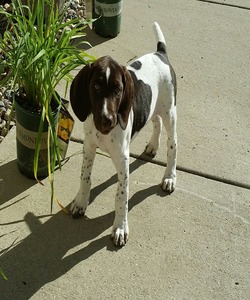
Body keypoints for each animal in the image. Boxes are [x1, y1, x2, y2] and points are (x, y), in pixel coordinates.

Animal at [69, 21, 177, 246]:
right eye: (96, 86)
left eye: (118, 90)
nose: (107, 120)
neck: (103, 133)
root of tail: (160, 53)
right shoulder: (88, 147)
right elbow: (85, 177)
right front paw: (81, 201)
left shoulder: (122, 158)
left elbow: (121, 195)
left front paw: (120, 227)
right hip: (153, 107)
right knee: (156, 123)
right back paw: (152, 146)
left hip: (170, 112)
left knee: (173, 145)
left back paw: (170, 177)